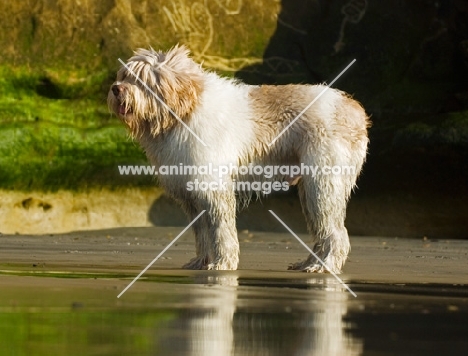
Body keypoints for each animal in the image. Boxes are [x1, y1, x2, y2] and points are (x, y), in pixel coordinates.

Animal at [109, 44, 370, 272]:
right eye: (125, 75)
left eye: (142, 80)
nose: (116, 88)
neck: (184, 111)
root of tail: (353, 109)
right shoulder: (193, 196)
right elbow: (203, 234)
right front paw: (202, 262)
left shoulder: (212, 188)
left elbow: (220, 231)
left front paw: (223, 263)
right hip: (311, 190)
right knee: (322, 231)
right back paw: (309, 263)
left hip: (323, 185)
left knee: (336, 233)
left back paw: (325, 265)